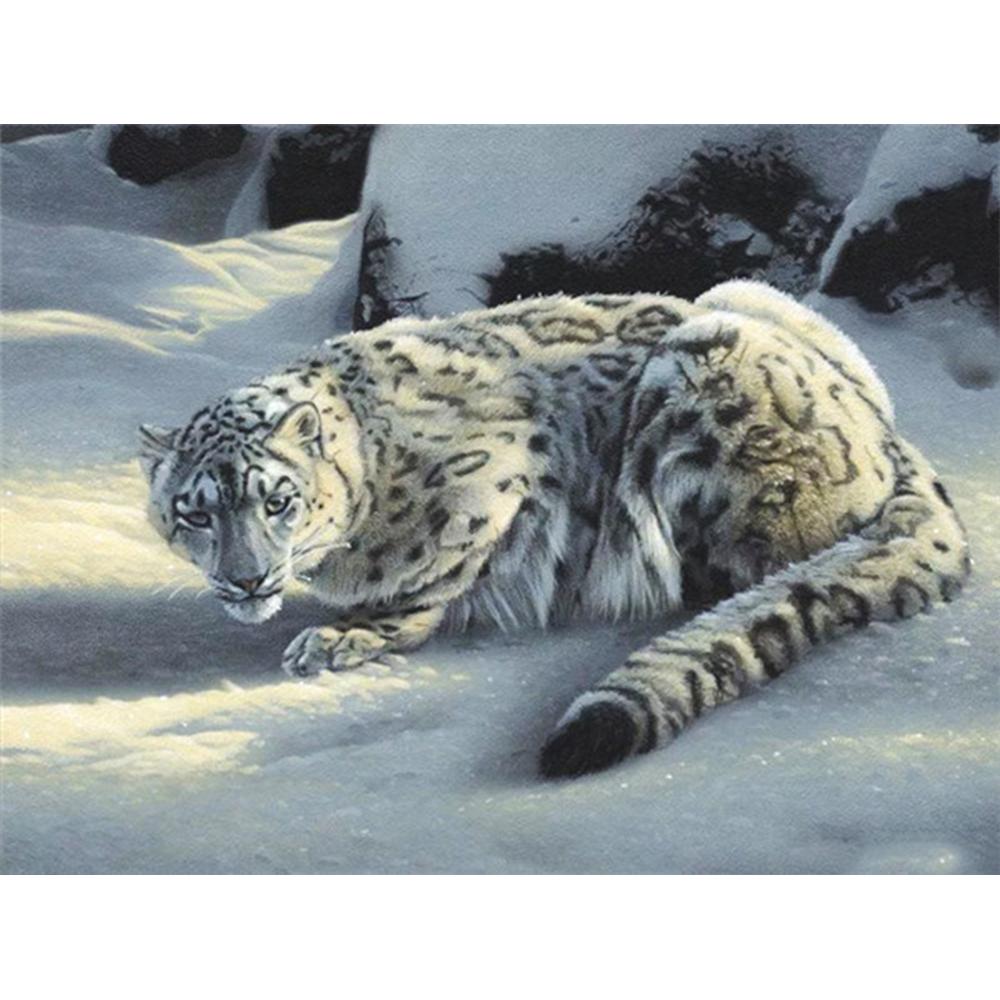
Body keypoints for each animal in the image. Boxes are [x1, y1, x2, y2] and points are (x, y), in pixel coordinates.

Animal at [140, 280, 970, 778]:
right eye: (196, 511)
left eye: (278, 500)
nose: (246, 578)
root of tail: (884, 433)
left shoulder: (491, 481)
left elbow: (427, 580)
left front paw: (345, 635)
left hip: (708, 377)